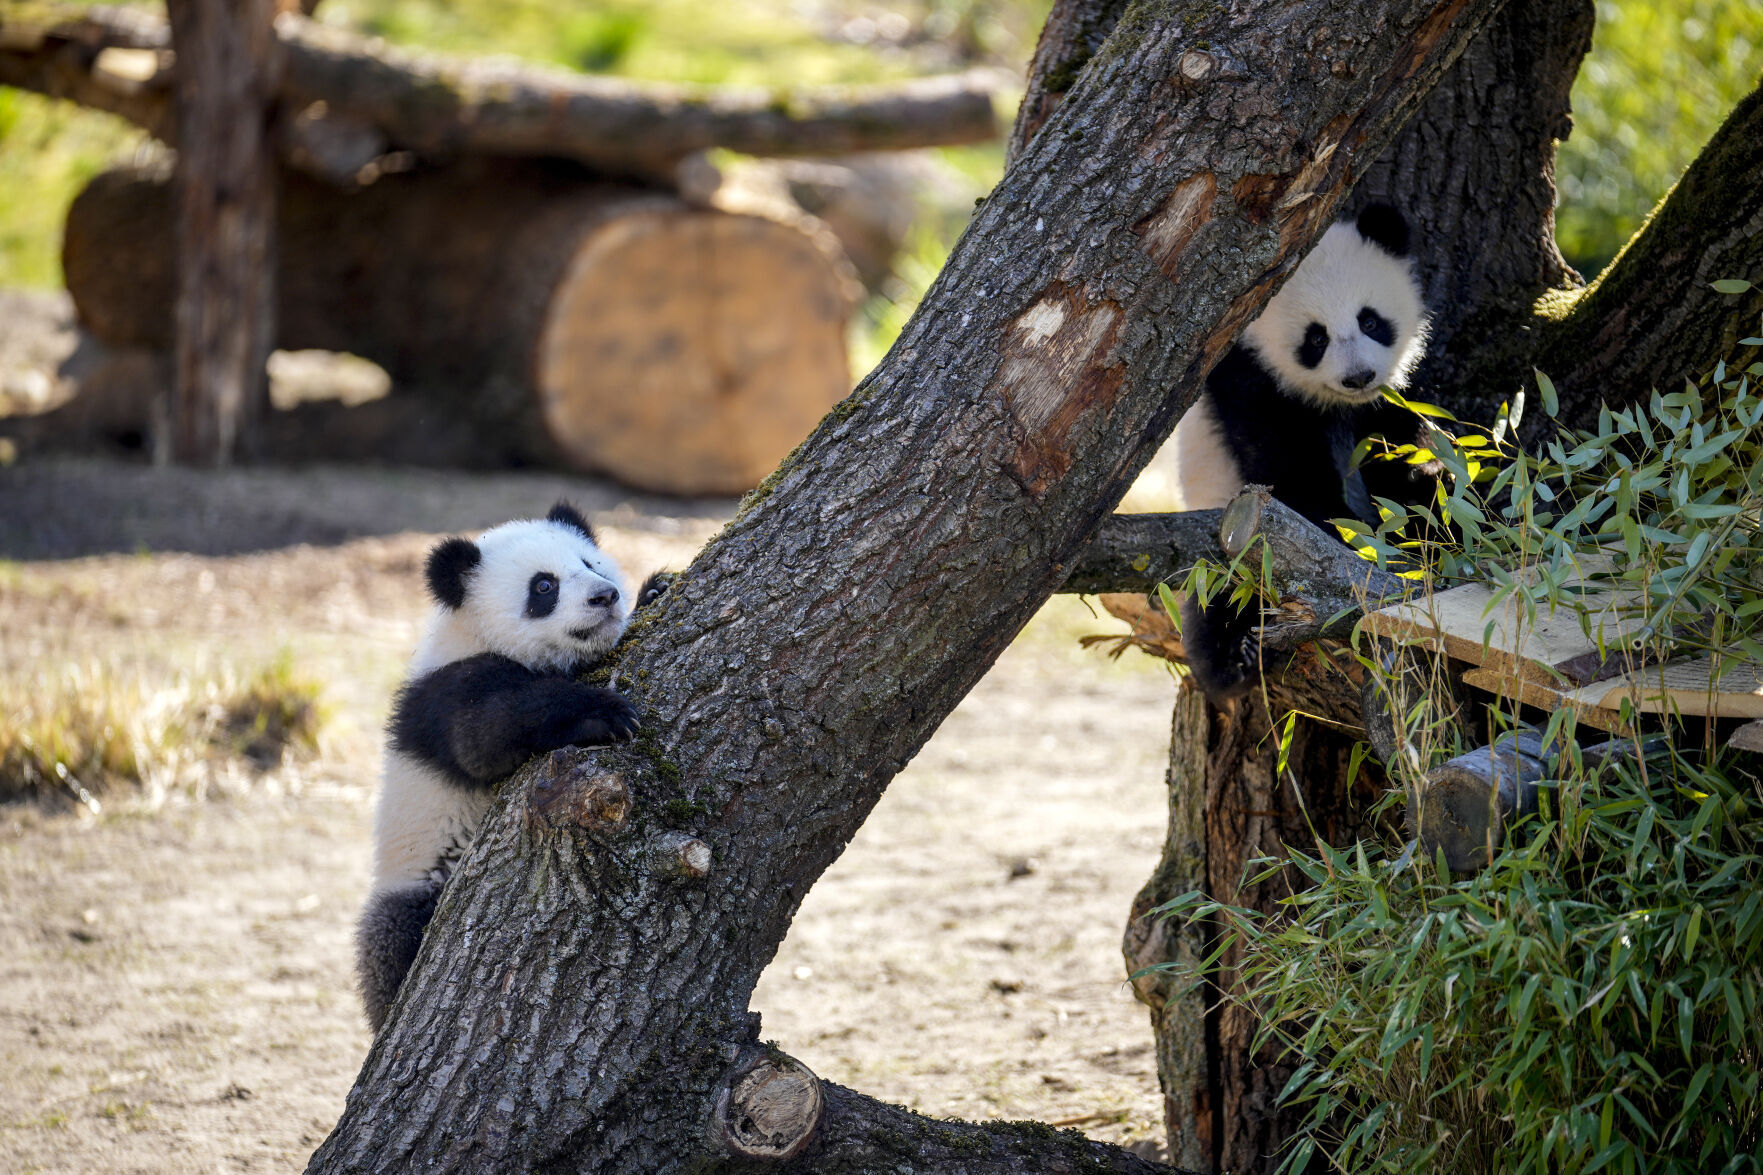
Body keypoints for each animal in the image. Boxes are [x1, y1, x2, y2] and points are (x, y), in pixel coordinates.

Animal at [355, 501, 644, 1032]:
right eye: (544, 587)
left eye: (591, 563)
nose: (606, 596)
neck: (472, 630)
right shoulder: (448, 693)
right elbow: (487, 732)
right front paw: (603, 713)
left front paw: (656, 587)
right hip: (418, 876)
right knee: (389, 936)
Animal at [1168, 203, 1440, 702]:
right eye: (1316, 338)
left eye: (1370, 320)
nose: (1359, 376)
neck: (1337, 405)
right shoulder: (1250, 380)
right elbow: (1288, 472)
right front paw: (1346, 533)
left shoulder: (1391, 400)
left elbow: (1395, 453)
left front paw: (1411, 506)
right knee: (1223, 598)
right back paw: (1236, 660)